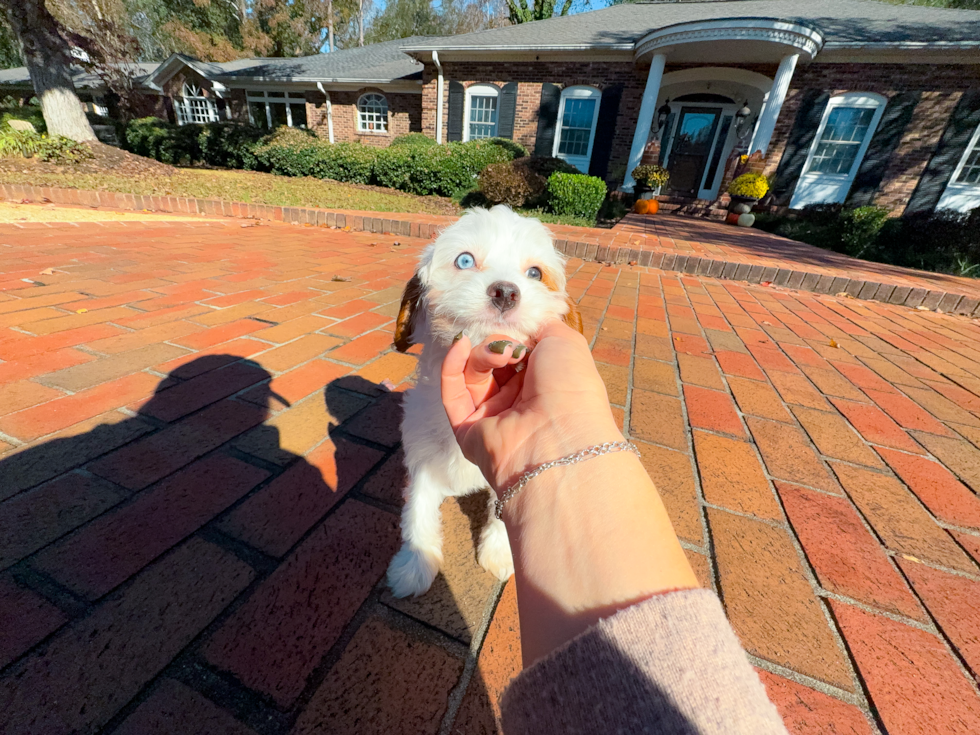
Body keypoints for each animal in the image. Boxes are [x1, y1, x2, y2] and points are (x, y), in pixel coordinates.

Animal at [384, 203, 580, 600]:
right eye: (464, 260)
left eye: (535, 273)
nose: (506, 291)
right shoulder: (422, 457)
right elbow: (418, 510)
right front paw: (414, 565)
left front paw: (499, 553)